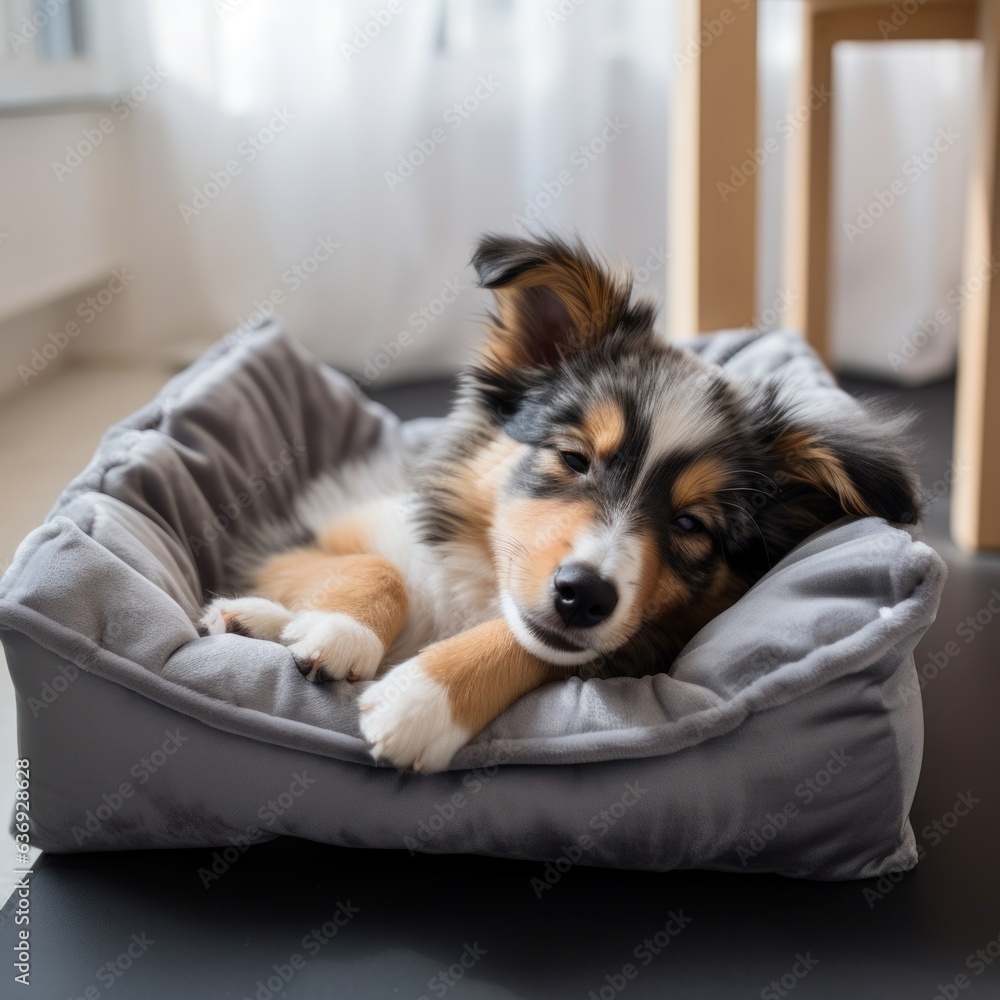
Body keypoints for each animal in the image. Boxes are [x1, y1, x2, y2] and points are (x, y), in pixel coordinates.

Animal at [201, 234, 920, 772]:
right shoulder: (306, 536)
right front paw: (341, 632)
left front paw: (420, 699)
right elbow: (377, 567)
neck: (481, 586)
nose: (584, 595)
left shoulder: (627, 646)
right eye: (575, 459)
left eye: (691, 523)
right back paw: (253, 618)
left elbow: (534, 642)